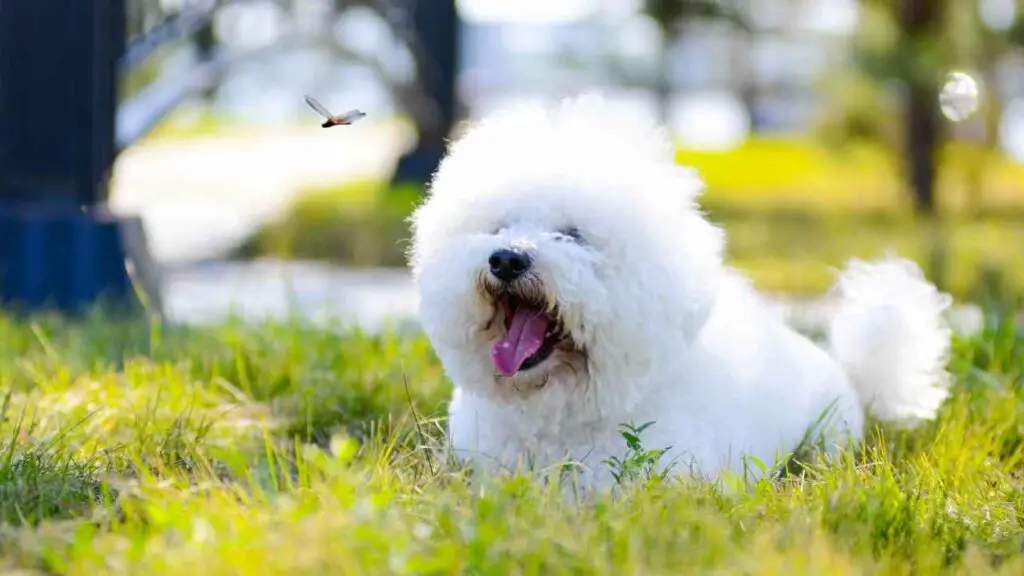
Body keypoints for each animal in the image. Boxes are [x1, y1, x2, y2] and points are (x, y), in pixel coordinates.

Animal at [405, 95, 950, 487]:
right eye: (499, 228)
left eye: (573, 235)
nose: (506, 259)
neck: (555, 415)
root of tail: (840, 366)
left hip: (828, 440)